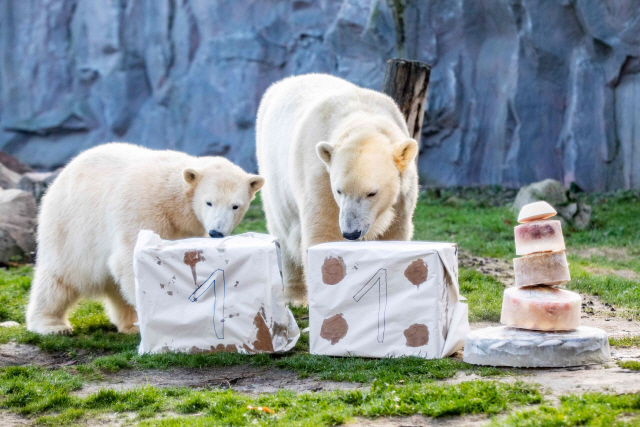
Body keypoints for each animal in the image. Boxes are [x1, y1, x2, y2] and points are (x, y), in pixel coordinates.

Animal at [26, 144, 264, 334]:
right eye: (209, 202)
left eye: (235, 206)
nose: (216, 232)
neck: (173, 201)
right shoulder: (142, 210)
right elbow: (131, 259)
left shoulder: (188, 228)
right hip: (71, 228)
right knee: (59, 278)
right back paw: (52, 325)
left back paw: (130, 325)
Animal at [255, 75, 420, 306]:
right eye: (339, 191)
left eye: (372, 193)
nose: (351, 233)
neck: (363, 120)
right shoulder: (320, 175)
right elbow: (323, 233)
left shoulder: (403, 194)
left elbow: (394, 233)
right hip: (275, 176)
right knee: (285, 232)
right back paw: (297, 296)